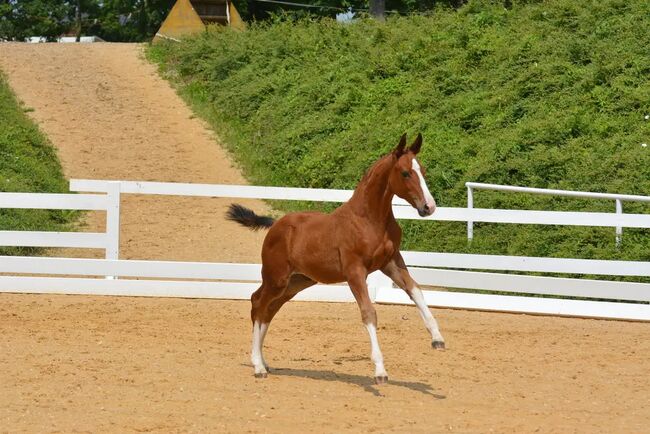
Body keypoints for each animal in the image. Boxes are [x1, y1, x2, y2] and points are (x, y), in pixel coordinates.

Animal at [225, 133, 442, 384]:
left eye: (423, 171)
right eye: (406, 173)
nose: (429, 207)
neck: (369, 220)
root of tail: (275, 224)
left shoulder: (391, 263)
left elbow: (416, 291)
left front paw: (437, 339)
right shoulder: (355, 271)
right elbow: (369, 313)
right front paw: (380, 371)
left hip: (297, 282)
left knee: (270, 308)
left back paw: (264, 362)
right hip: (276, 277)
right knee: (257, 303)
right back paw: (258, 365)